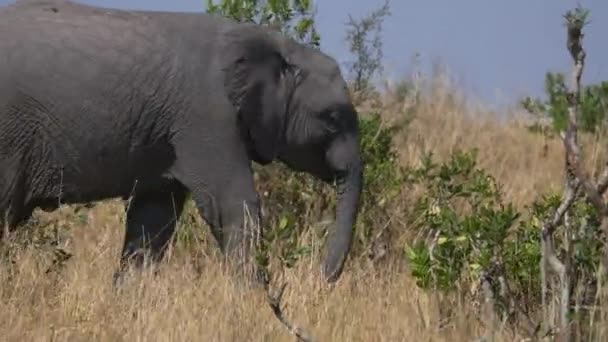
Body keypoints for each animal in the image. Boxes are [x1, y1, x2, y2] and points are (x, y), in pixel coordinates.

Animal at [0, 0, 360, 284]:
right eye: (332, 118)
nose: (320, 278)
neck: (279, 46)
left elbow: (153, 221)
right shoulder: (209, 116)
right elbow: (233, 206)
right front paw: (253, 304)